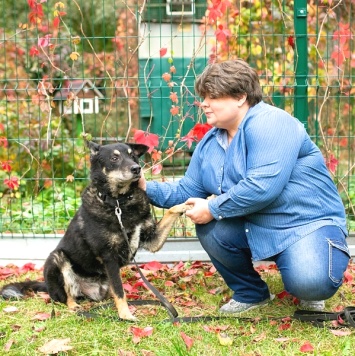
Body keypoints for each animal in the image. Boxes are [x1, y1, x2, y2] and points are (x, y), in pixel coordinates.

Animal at [0, 140, 188, 322]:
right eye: (114, 158)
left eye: (133, 156)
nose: (136, 169)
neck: (119, 203)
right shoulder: (109, 256)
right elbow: (120, 291)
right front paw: (125, 315)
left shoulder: (152, 239)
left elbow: (172, 210)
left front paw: (190, 204)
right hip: (57, 259)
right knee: (64, 296)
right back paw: (74, 306)